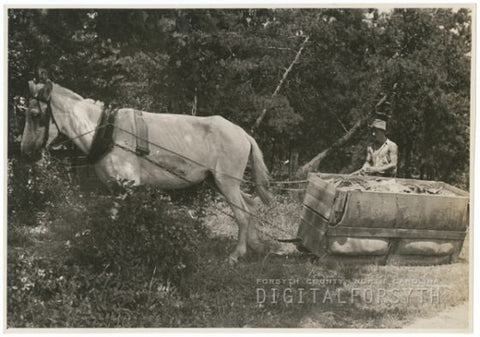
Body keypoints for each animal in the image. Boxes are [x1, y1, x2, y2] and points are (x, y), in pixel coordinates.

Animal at [22, 79, 272, 262]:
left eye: (35, 114)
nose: (24, 151)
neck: (107, 131)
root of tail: (242, 132)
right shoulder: (115, 187)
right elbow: (115, 218)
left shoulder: (127, 185)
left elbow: (120, 219)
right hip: (219, 182)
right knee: (251, 205)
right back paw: (255, 245)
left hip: (226, 182)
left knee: (242, 214)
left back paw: (236, 255)